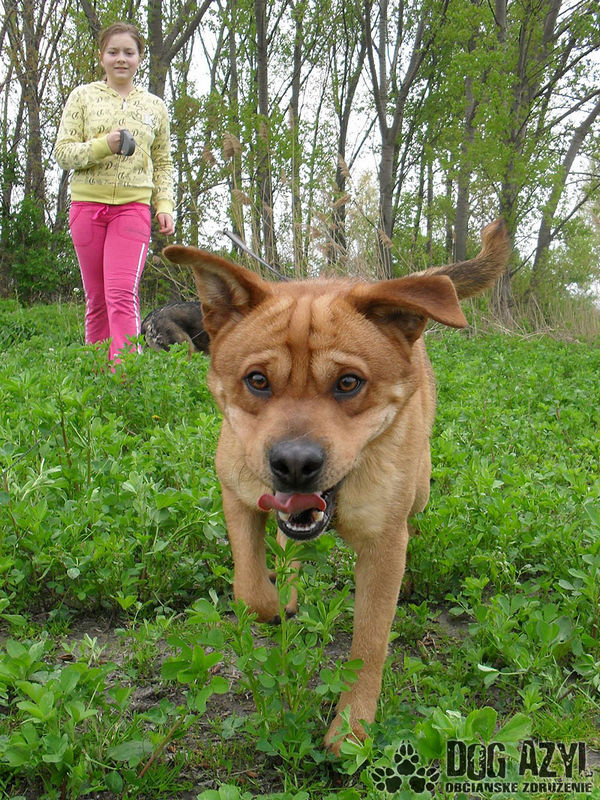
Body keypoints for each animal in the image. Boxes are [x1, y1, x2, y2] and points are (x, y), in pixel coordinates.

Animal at [163, 220, 510, 752]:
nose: (294, 464)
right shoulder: (237, 493)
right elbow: (250, 589)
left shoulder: (384, 548)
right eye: (257, 380)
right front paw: (275, 602)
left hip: (420, 490)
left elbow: (369, 643)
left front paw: (352, 725)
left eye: (349, 383)